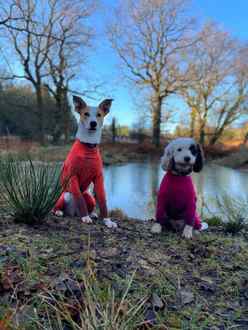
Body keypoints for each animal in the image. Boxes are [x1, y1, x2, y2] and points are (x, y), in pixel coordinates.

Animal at [53, 96, 117, 228]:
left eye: (99, 115)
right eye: (85, 114)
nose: (93, 123)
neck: (88, 146)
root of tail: (74, 213)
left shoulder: (98, 177)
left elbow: (102, 200)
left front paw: (107, 220)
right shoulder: (72, 176)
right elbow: (79, 198)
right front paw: (85, 217)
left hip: (89, 196)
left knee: (90, 203)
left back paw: (92, 214)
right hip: (65, 195)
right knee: (58, 206)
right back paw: (60, 212)